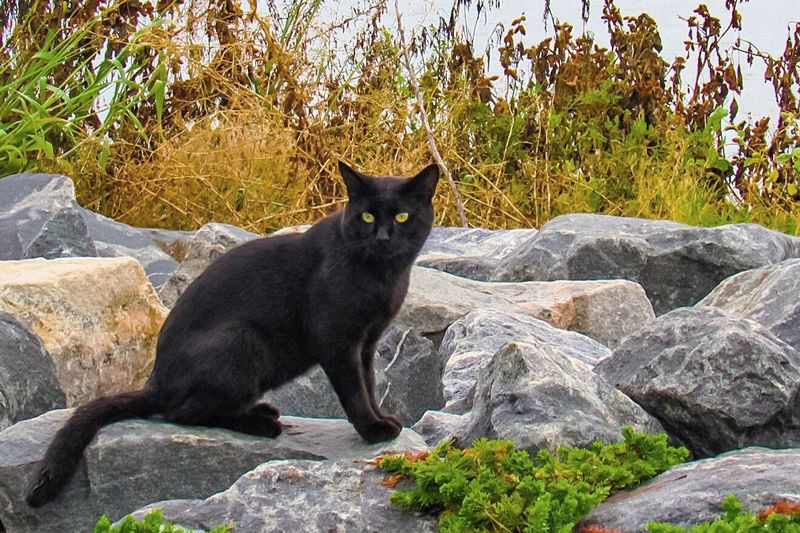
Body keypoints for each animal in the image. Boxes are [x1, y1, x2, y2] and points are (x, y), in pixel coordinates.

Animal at [25, 162, 438, 508]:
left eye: (402, 216)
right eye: (367, 216)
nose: (383, 237)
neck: (383, 276)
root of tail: (155, 381)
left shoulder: (367, 343)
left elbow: (369, 385)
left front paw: (382, 420)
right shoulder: (337, 342)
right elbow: (354, 392)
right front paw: (372, 430)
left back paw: (260, 411)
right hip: (242, 340)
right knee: (183, 413)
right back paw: (261, 424)